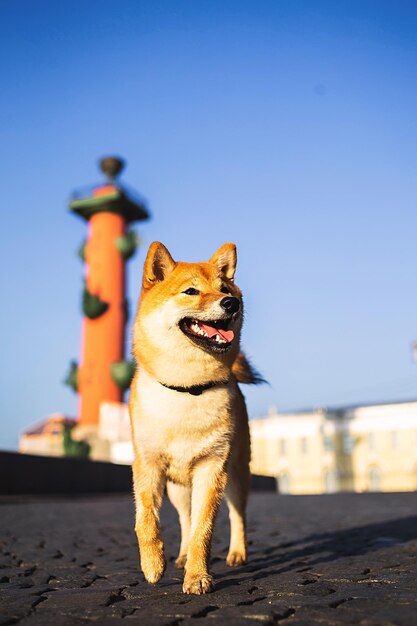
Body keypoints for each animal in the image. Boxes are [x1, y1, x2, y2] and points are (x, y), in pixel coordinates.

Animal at [130, 241, 260, 592]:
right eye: (191, 291)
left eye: (225, 289)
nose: (231, 303)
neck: (189, 388)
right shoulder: (147, 465)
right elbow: (146, 521)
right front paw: (152, 565)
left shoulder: (211, 469)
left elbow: (205, 529)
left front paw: (198, 576)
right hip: (177, 489)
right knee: (184, 519)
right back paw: (181, 555)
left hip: (236, 474)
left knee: (237, 515)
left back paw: (237, 554)